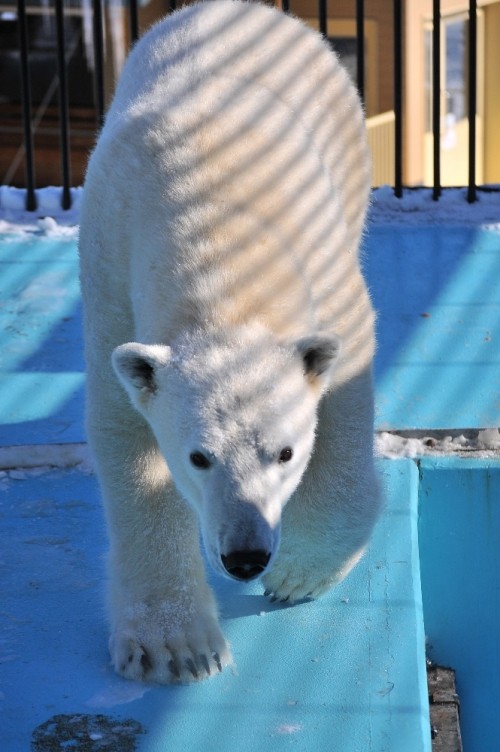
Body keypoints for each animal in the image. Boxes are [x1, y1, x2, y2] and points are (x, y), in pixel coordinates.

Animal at [80, 0, 380, 680]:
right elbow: (126, 432)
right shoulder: (112, 276)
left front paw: (297, 574)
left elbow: (344, 384)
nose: (246, 556)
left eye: (286, 452)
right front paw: (175, 648)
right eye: (198, 457)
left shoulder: (325, 267)